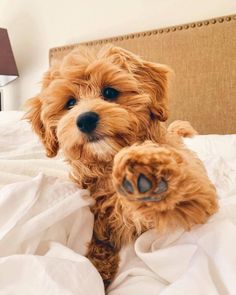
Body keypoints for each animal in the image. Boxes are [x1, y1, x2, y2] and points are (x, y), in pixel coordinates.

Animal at [24, 45, 218, 290]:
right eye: (70, 103)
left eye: (109, 93)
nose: (85, 119)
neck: (108, 162)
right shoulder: (99, 222)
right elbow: (99, 246)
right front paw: (97, 273)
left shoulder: (199, 193)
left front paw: (143, 166)